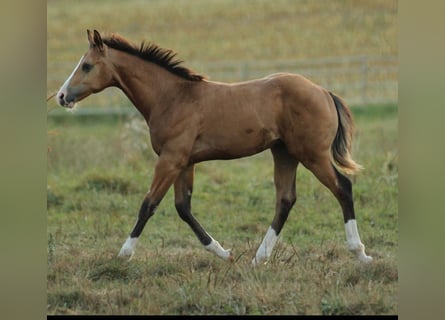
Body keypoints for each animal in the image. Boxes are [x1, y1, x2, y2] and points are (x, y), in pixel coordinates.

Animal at [57, 30, 372, 264]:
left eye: (86, 65)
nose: (61, 96)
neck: (172, 97)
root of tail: (323, 92)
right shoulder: (184, 162)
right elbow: (183, 208)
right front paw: (224, 252)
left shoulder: (171, 159)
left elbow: (149, 204)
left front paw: (124, 254)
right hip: (284, 153)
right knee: (285, 199)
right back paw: (259, 258)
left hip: (311, 154)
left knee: (342, 187)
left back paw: (360, 253)